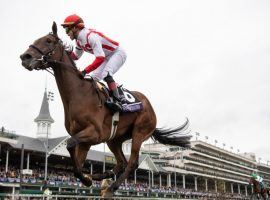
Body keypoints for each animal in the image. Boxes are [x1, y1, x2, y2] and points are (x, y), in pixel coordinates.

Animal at [20, 21, 191, 197]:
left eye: (48, 41)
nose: (25, 57)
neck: (79, 93)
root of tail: (149, 106)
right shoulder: (85, 140)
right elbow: (76, 162)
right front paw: (87, 178)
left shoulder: (94, 133)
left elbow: (70, 144)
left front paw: (87, 178)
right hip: (114, 139)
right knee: (121, 162)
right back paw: (101, 176)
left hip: (139, 132)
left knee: (132, 163)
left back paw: (111, 187)